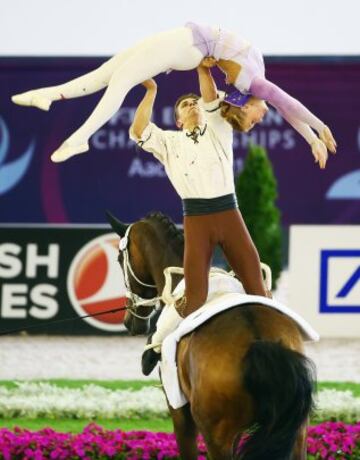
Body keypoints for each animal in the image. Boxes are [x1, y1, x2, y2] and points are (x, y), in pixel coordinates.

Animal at [107, 210, 316, 458]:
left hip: (216, 436)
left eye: (119, 260)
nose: (129, 322)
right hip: (297, 434)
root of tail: (259, 341)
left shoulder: (180, 413)